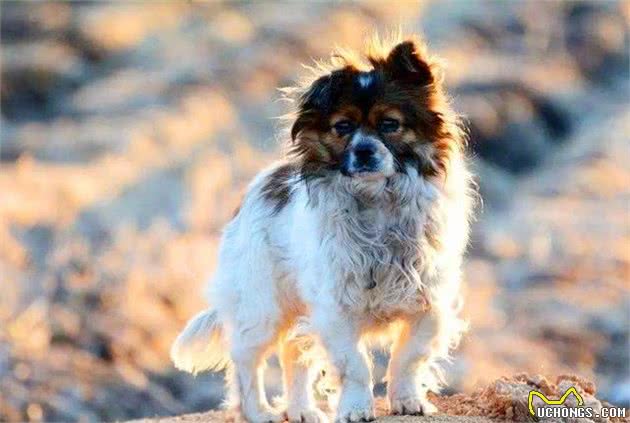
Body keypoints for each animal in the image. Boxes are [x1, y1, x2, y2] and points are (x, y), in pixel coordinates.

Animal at [172, 36, 474, 423]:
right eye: (342, 127)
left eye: (389, 124)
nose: (364, 151)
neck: (377, 201)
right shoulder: (335, 309)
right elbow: (355, 365)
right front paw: (356, 409)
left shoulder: (428, 303)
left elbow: (409, 358)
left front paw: (408, 401)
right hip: (260, 309)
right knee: (246, 364)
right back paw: (259, 412)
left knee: (293, 358)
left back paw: (303, 410)